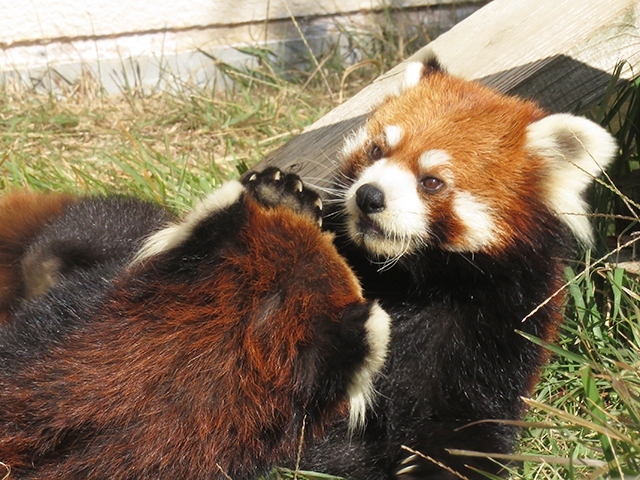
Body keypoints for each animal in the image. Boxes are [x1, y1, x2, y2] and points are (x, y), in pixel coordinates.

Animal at [296, 58, 620, 478]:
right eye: (377, 150)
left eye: (431, 182)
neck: (413, 277)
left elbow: (463, 425)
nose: (368, 196)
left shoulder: (497, 329)